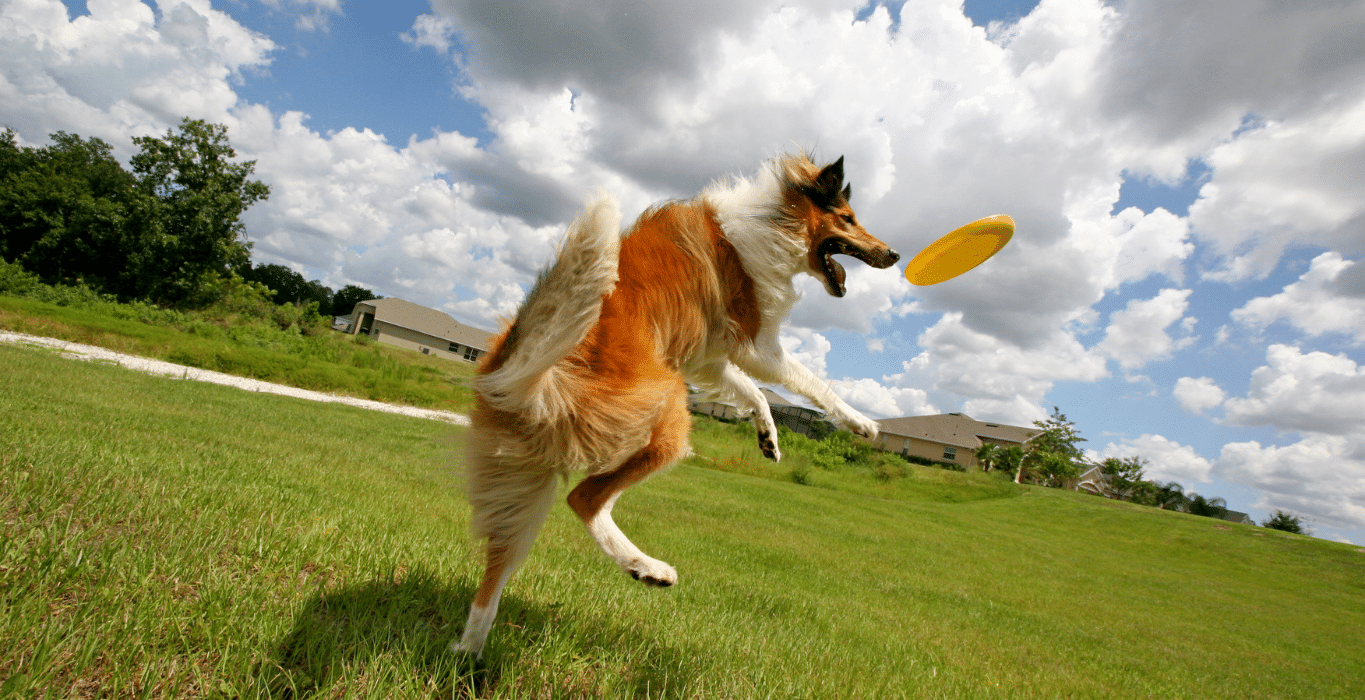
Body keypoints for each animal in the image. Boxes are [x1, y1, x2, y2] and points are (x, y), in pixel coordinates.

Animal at [453, 152, 900, 654]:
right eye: (848, 219)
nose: (895, 255)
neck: (775, 217)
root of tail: (525, 376)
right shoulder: (755, 344)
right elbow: (810, 382)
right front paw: (861, 422)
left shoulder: (712, 356)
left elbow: (752, 393)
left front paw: (768, 437)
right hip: (668, 415)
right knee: (584, 498)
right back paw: (649, 568)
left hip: (525, 482)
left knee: (496, 572)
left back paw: (472, 651)